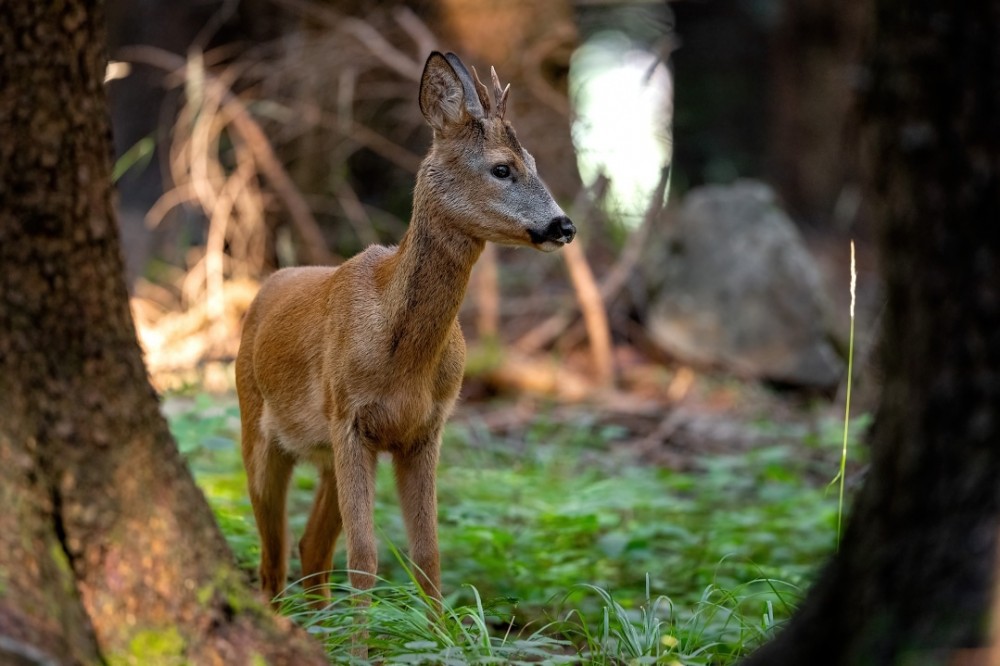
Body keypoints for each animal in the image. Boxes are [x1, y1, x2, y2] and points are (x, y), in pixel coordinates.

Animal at [237, 52, 576, 600]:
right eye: (502, 167)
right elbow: (364, 559)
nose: (563, 226)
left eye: (535, 165)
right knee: (272, 558)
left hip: (325, 455)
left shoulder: (426, 429)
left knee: (310, 549)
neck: (402, 358)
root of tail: (267, 285)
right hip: (258, 429)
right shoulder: (348, 418)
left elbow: (428, 557)